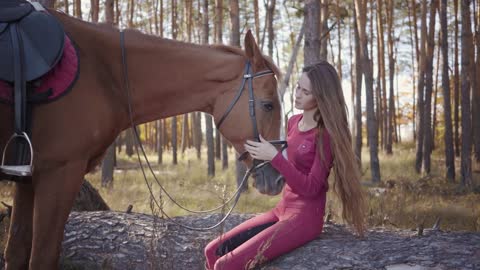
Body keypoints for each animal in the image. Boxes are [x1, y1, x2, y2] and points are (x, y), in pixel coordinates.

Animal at [0, 8, 284, 270]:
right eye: (268, 105)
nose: (278, 180)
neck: (103, 71)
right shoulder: (60, 171)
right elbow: (42, 256)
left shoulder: (29, 177)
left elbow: (16, 250)